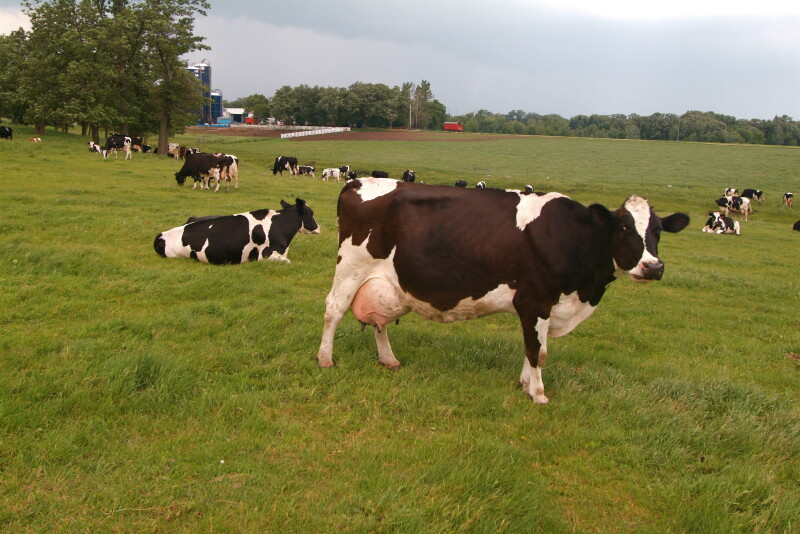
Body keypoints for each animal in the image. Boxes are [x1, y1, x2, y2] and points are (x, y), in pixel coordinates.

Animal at [315, 179, 690, 404]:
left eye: (658, 230)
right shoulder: (535, 299)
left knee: (379, 321)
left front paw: (525, 384)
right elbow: (538, 350)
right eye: (624, 228)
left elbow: (533, 348)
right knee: (334, 310)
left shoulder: (542, 306)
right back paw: (325, 359)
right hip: (351, 267)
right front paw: (538, 393)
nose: (653, 267)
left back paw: (388, 360)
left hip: (384, 282)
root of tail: (359, 181)